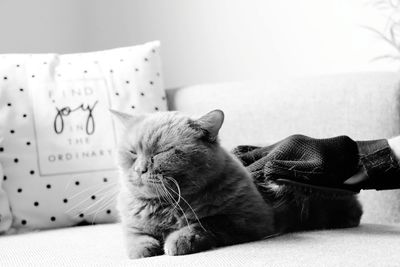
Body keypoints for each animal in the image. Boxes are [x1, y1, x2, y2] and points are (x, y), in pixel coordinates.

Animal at [112, 109, 362, 260]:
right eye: (132, 152)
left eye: (162, 152)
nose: (140, 169)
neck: (169, 206)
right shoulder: (133, 223)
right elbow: (134, 235)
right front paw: (143, 248)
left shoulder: (249, 220)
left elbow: (206, 223)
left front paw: (181, 239)